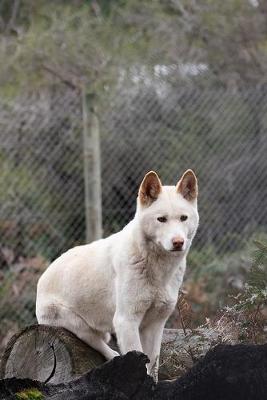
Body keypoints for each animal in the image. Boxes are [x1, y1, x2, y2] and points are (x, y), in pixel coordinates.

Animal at [35, 170, 199, 376]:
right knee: (104, 347)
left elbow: (153, 366)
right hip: (75, 324)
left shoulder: (155, 324)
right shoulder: (126, 321)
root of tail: (41, 279)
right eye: (162, 219)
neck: (158, 269)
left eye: (183, 218)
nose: (178, 242)